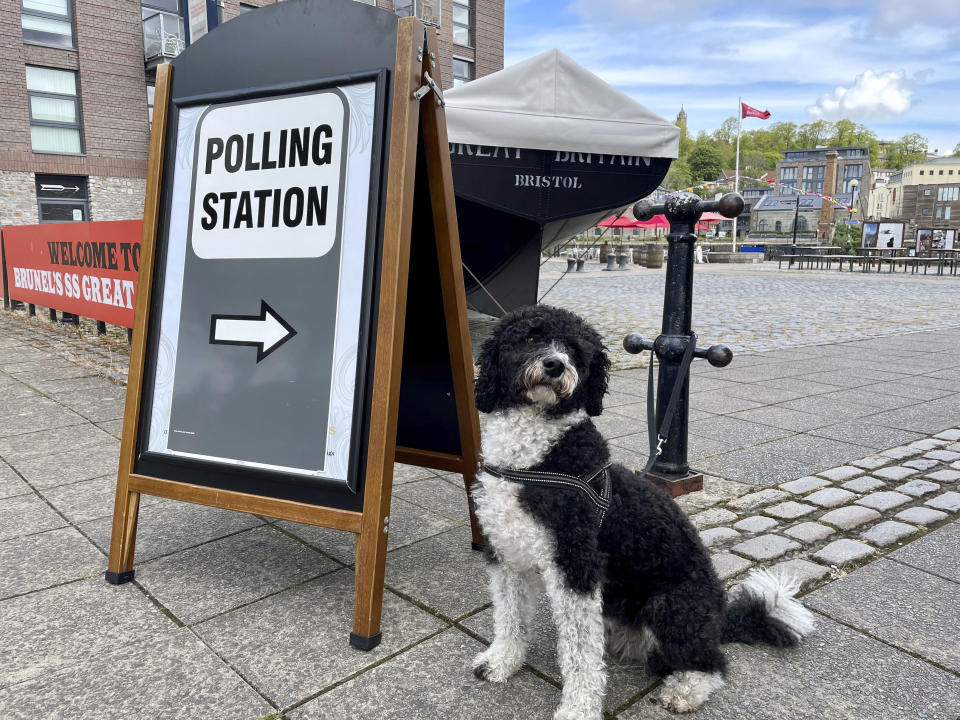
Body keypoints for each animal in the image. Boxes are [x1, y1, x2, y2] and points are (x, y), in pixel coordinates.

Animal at [468, 306, 812, 720]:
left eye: (575, 350)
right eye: (531, 337)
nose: (555, 365)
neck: (534, 461)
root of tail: (719, 620)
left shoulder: (576, 566)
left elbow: (580, 654)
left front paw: (578, 707)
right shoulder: (506, 554)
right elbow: (510, 619)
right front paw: (501, 662)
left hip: (671, 605)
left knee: (711, 662)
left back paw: (686, 688)